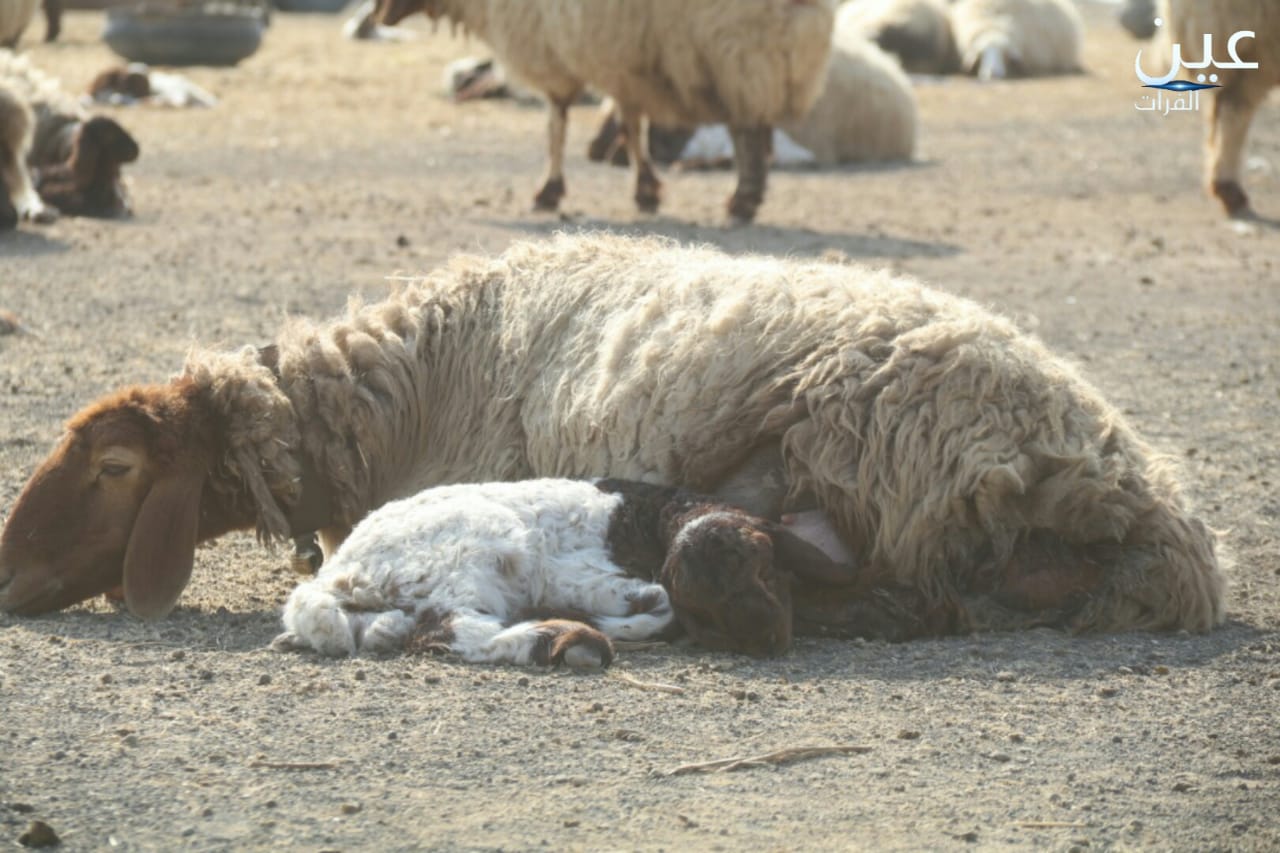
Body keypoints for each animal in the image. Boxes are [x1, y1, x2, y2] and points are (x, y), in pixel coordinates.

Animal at [270, 473, 849, 660]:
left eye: (763, 563)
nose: (764, 638)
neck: (657, 519)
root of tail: (342, 570)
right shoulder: (573, 570)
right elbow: (657, 601)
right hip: (473, 555)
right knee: (454, 630)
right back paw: (562, 640)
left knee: (381, 629)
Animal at [376, 0, 839, 222]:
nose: (380, 14)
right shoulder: (624, 64)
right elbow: (631, 124)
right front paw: (646, 190)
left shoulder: (559, 49)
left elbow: (557, 123)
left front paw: (549, 191)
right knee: (756, 132)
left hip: (739, 53)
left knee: (747, 130)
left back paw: (743, 201)